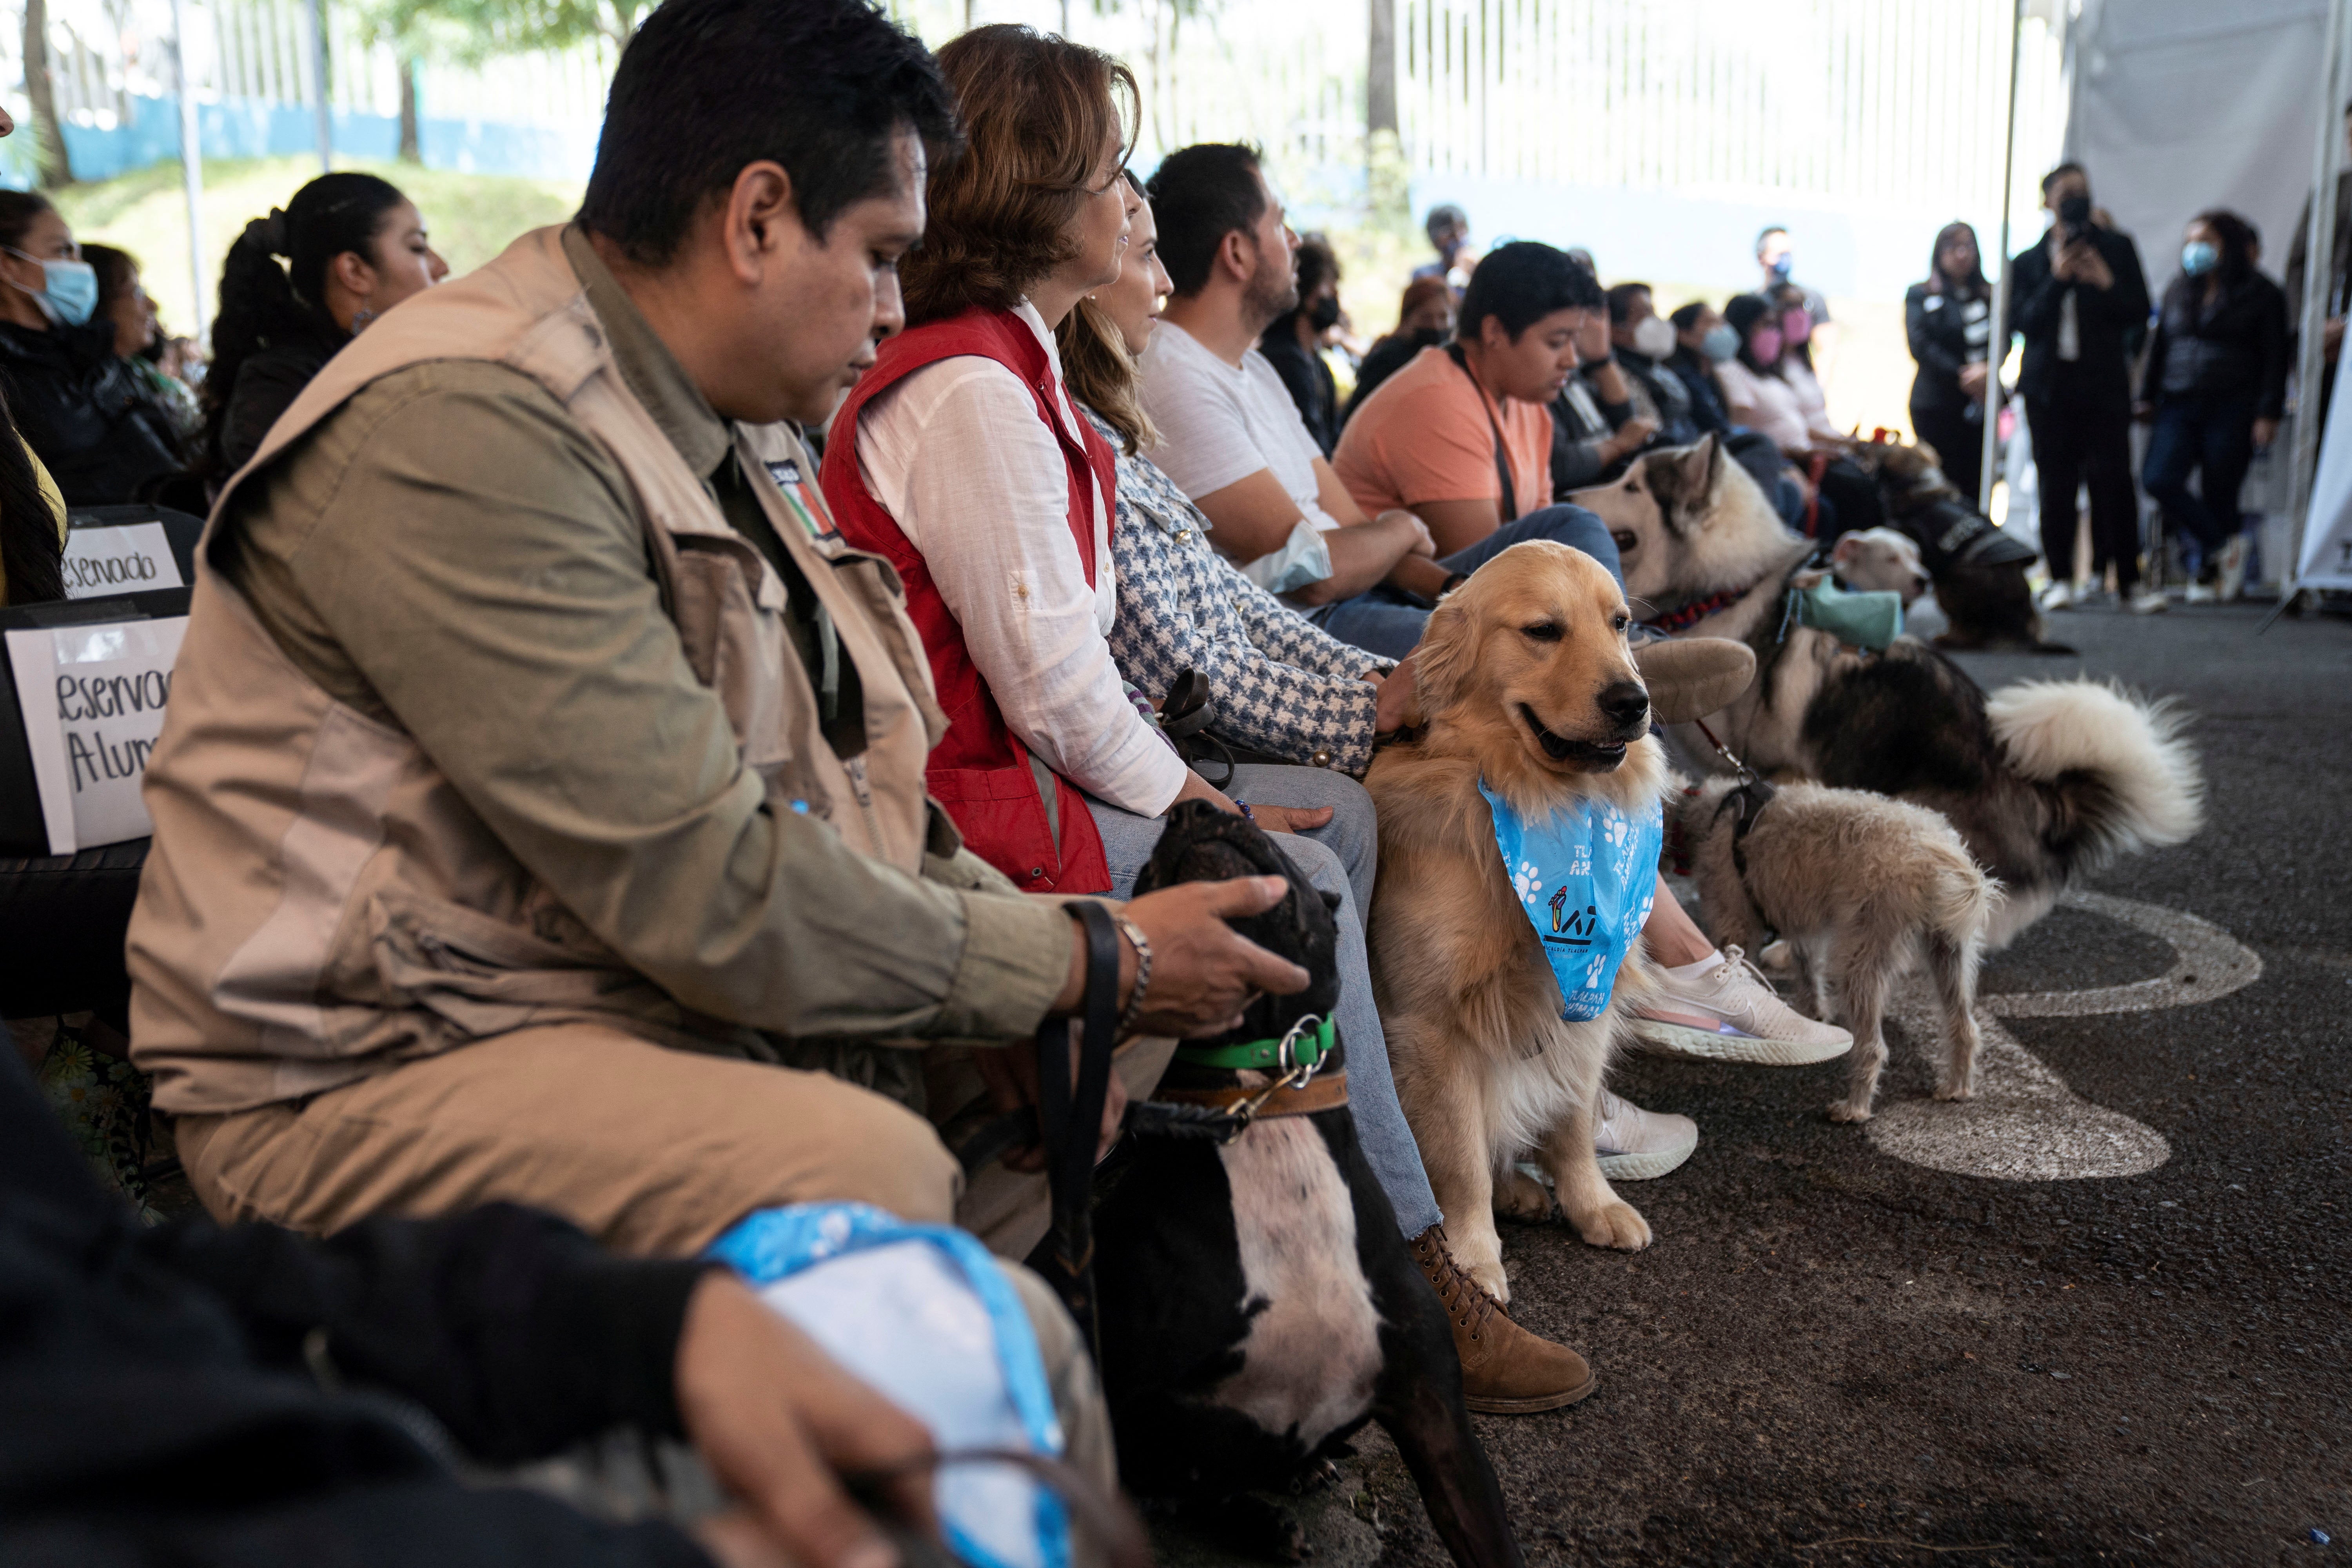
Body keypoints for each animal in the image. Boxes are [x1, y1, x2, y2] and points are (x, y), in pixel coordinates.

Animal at [1364, 541, 1675, 1298]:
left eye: (1621, 623)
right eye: (1543, 631)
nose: (1633, 701)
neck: (1542, 804)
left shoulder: (1584, 998)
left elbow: (1572, 1121)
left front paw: (1592, 1204)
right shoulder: (1433, 1024)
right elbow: (1459, 1159)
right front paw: (1473, 1257)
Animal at [1684, 776, 1994, 1123]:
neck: (1704, 812)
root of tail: (1935, 858)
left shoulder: (1734, 923)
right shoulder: (1801, 926)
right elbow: (1807, 970)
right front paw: (1813, 1014)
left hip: (1859, 959)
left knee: (1873, 1047)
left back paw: (1855, 1108)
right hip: (1949, 951)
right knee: (1965, 1026)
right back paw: (1957, 1087)